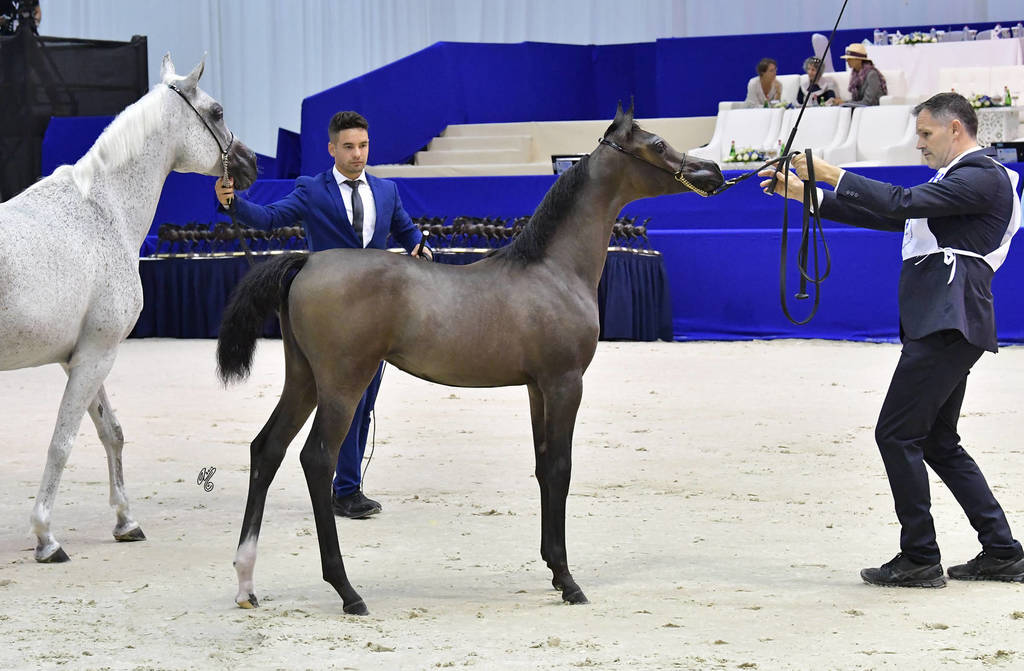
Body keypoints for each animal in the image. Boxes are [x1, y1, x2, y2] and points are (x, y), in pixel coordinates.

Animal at [0, 55, 257, 563]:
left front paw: (126, 521)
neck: (103, 211)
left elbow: (110, 431)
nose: (252, 162)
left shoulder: (81, 356)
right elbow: (62, 442)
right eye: (216, 112)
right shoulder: (97, 355)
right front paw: (46, 537)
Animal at [216, 102, 723, 614]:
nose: (714, 171)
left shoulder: (537, 388)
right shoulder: (565, 383)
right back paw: (347, 591)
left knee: (267, 449)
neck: (552, 270)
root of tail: (307, 262)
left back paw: (245, 583)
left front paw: (553, 569)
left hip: (303, 380)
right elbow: (561, 469)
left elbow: (543, 468)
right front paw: (569, 581)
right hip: (342, 386)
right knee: (317, 459)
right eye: (657, 143)